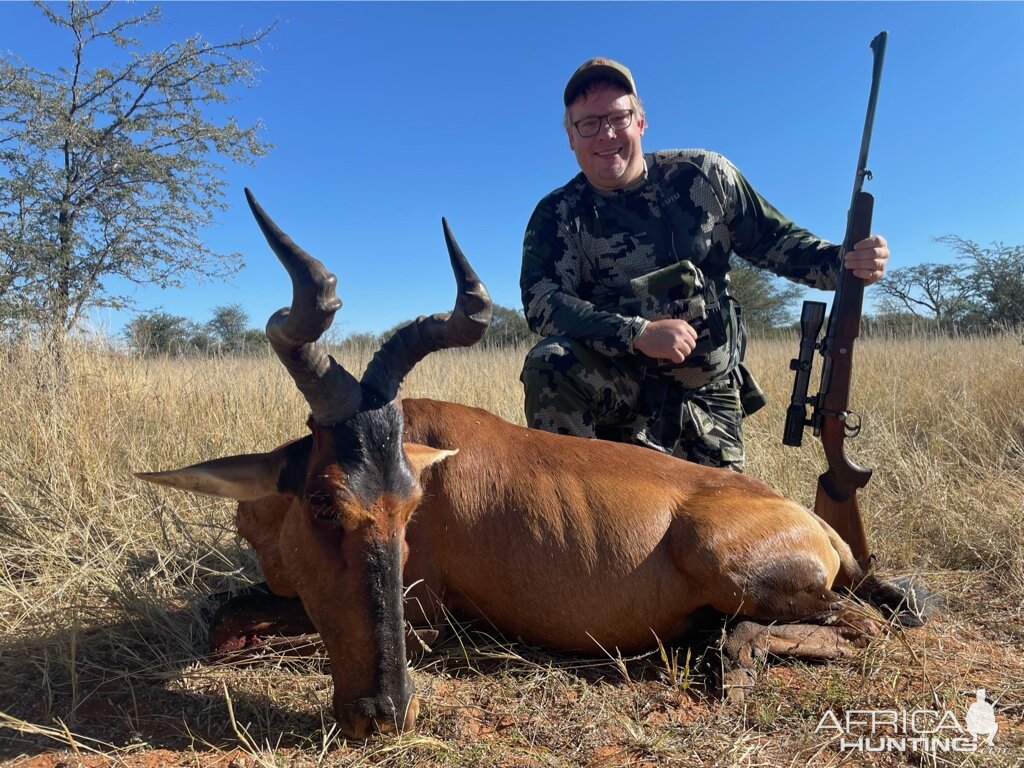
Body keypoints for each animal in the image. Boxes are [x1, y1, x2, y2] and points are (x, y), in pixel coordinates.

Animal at [138, 191, 921, 741]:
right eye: (324, 502)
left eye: (409, 507)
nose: (383, 713)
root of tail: (822, 528)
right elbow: (220, 616)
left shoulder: (424, 614)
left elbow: (235, 632)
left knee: (859, 626)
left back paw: (735, 663)